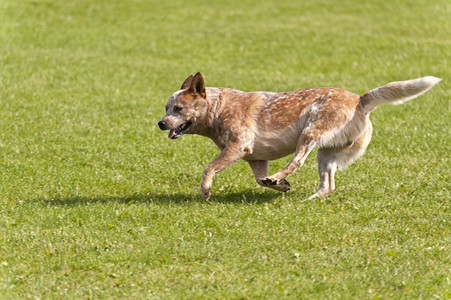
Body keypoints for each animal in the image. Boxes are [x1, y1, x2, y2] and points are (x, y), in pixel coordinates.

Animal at [158, 72, 442, 199]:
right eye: (166, 107)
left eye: (178, 109)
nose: (160, 123)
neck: (218, 108)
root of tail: (360, 100)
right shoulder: (255, 158)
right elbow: (260, 179)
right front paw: (280, 186)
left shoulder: (239, 147)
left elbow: (209, 168)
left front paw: (205, 192)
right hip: (327, 155)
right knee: (328, 184)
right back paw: (307, 198)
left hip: (310, 132)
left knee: (297, 161)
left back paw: (282, 176)